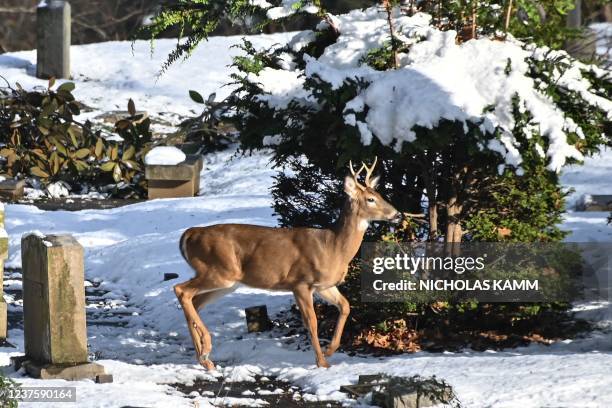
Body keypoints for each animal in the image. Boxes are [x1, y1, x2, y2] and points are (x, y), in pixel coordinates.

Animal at [175, 159, 400, 370]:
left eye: (380, 194)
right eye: (371, 199)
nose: (397, 214)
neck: (333, 247)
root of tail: (189, 235)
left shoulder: (324, 285)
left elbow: (345, 306)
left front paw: (329, 350)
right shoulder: (300, 283)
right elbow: (312, 322)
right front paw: (321, 362)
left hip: (227, 282)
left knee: (194, 301)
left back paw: (204, 359)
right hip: (219, 271)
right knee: (181, 290)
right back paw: (206, 350)